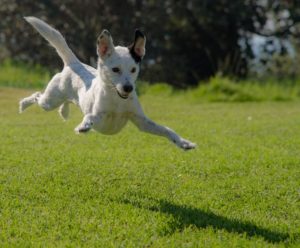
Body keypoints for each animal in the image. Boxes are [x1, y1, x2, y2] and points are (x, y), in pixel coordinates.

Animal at [19, 17, 197, 151]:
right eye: (115, 69)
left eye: (133, 69)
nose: (128, 88)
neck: (117, 101)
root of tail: (74, 63)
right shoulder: (99, 116)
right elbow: (90, 117)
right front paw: (84, 126)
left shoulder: (142, 122)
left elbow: (166, 129)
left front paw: (184, 143)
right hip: (50, 101)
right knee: (38, 96)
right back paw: (23, 104)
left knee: (66, 101)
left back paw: (64, 111)